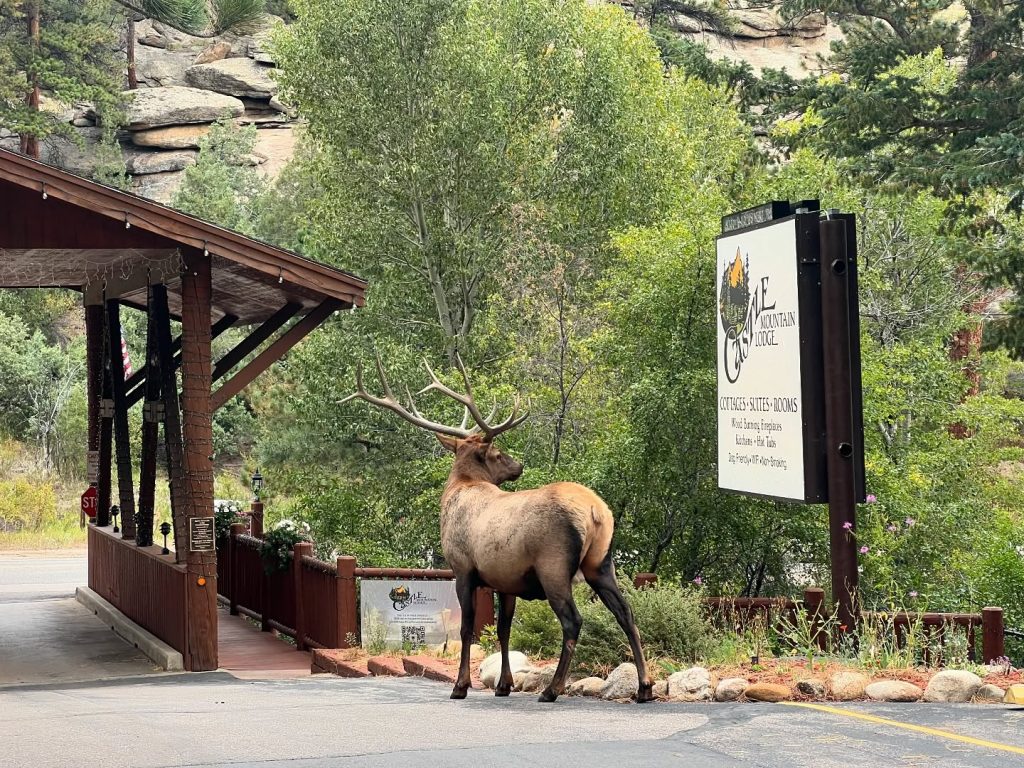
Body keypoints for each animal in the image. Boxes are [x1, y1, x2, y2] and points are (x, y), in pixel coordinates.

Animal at [342, 352, 654, 703]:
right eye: (497, 453)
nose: (519, 465)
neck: (459, 489)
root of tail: (595, 511)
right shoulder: (505, 580)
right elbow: (504, 629)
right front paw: (503, 685)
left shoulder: (463, 568)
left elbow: (466, 628)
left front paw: (460, 686)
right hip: (600, 562)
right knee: (626, 612)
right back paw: (644, 687)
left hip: (554, 565)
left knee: (573, 620)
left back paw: (552, 689)